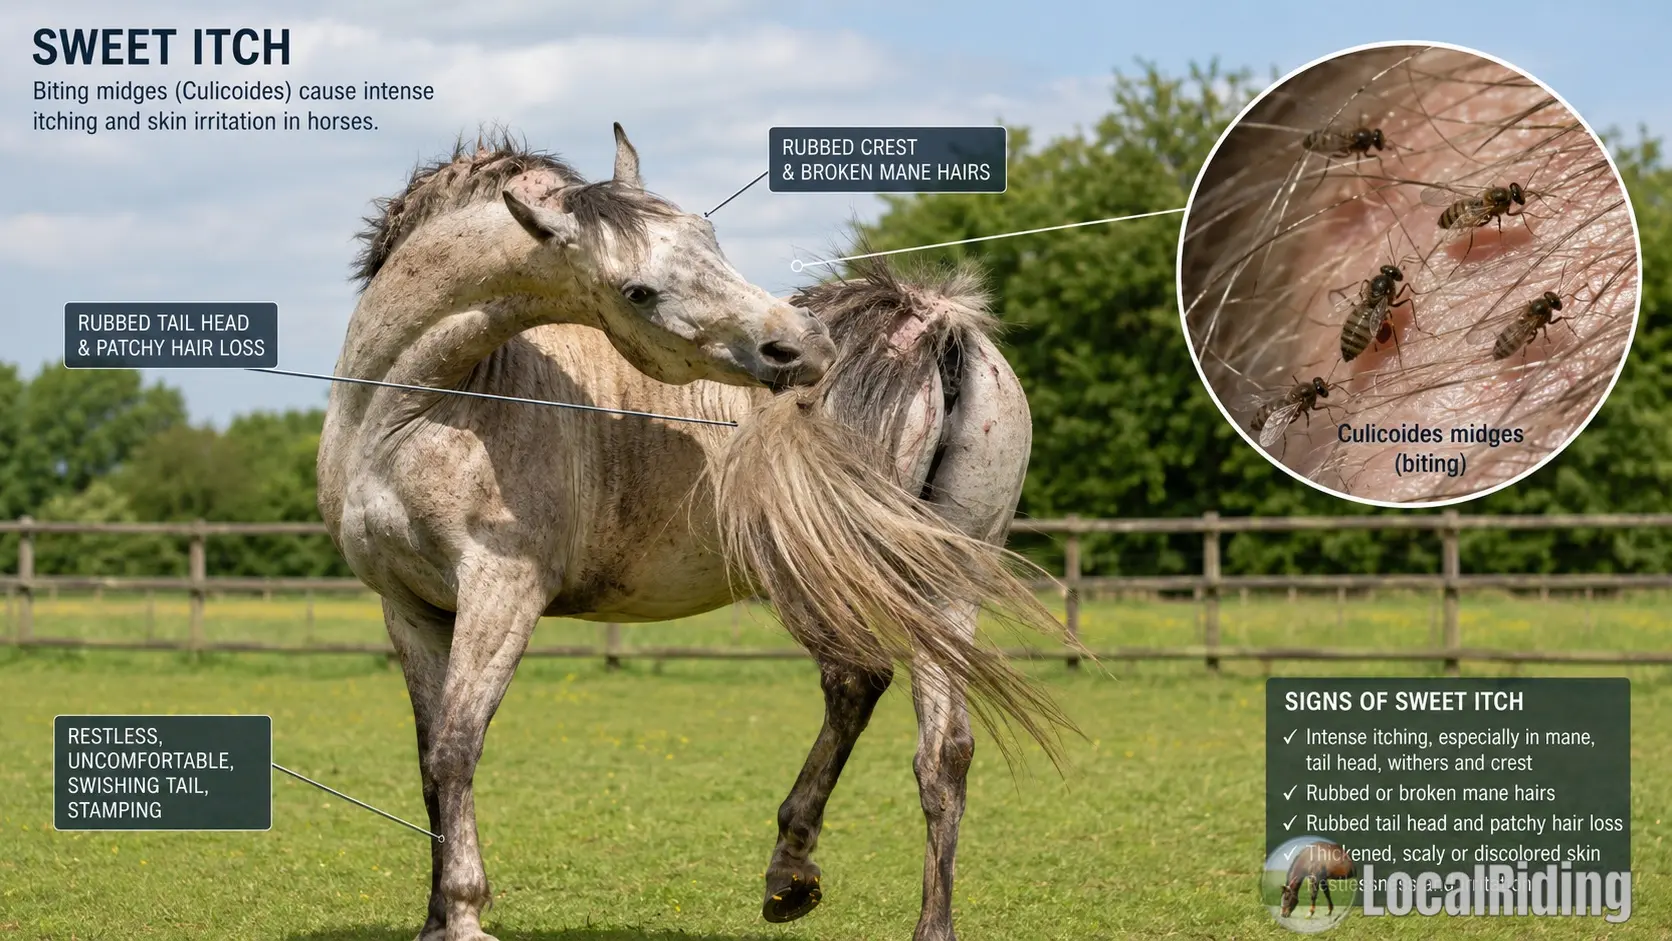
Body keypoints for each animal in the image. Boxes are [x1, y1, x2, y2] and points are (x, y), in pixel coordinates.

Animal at [317, 126, 1072, 941]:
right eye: (637, 290)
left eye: (711, 241)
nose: (804, 349)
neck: (419, 408)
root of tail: (927, 327)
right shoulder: (410, 606)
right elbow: (431, 759)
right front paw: (436, 917)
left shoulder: (501, 591)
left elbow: (456, 749)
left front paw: (462, 913)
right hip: (942, 586)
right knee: (941, 752)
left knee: (860, 683)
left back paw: (794, 873)